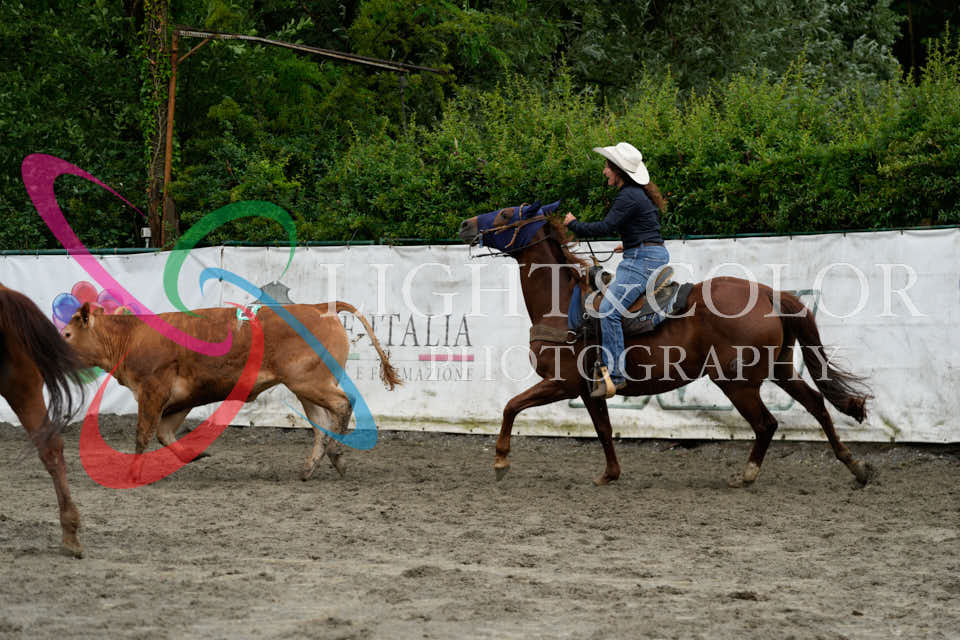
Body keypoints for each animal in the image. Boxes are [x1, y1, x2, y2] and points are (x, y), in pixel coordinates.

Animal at [61, 301, 400, 482]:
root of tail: (318, 308)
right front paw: (195, 455)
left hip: (309, 382)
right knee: (321, 424)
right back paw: (311, 467)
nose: (55, 351)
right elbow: (164, 434)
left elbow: (144, 434)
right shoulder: (180, 400)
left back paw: (337, 455)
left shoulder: (153, 391)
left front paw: (133, 475)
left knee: (343, 404)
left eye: (67, 334)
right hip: (307, 386)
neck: (131, 337)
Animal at [458, 203, 874, 488]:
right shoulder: (591, 391)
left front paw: (501, 461)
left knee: (767, 423)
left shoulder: (562, 384)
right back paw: (855, 466)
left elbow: (511, 406)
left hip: (737, 382)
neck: (564, 306)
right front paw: (610, 474)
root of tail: (768, 293)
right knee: (817, 404)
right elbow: (604, 430)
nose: (466, 224)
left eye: (506, 213)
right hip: (780, 368)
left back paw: (748, 474)